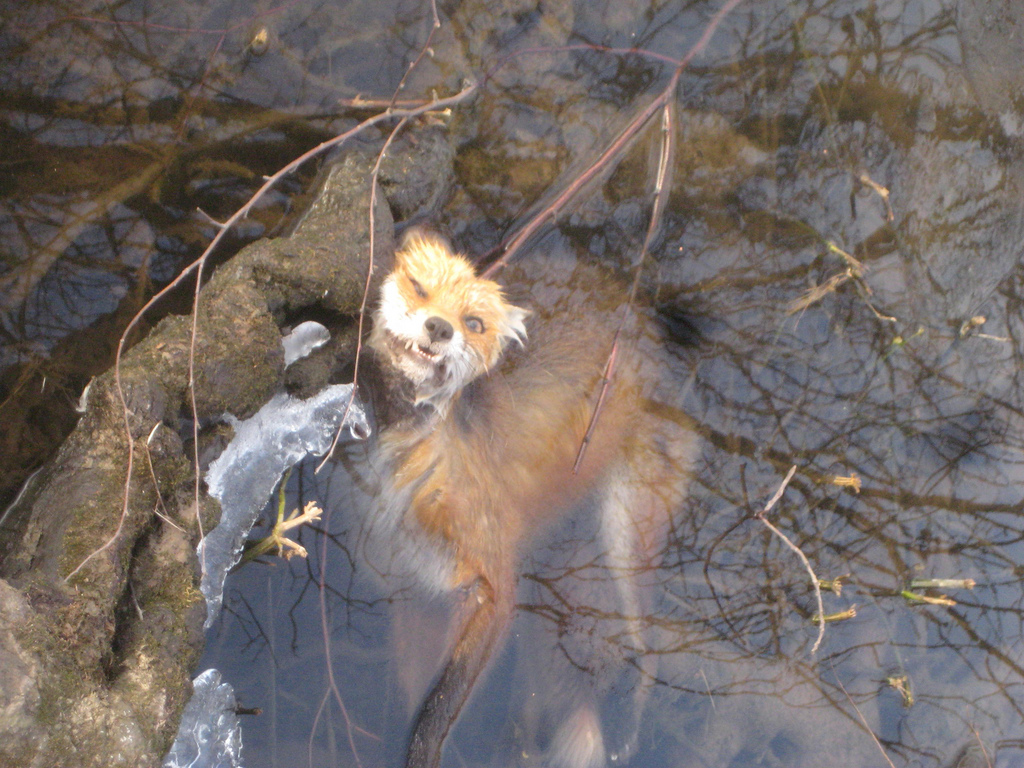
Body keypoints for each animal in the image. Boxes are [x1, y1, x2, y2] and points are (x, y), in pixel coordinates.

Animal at [362, 233, 696, 768]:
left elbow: (439, 706)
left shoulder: (494, 583)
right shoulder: (412, 588)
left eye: (474, 323)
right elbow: (412, 687)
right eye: (419, 288)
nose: (439, 327)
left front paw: (425, 748)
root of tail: (640, 304)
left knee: (644, 649)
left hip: (626, 535)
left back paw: (629, 730)